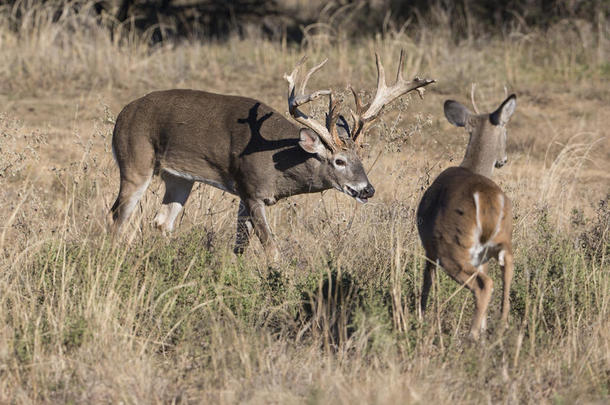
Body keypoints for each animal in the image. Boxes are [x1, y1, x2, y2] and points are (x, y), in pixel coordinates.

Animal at [108, 52, 432, 258]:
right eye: (338, 161)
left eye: (360, 160)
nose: (367, 189)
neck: (279, 164)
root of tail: (122, 114)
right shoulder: (252, 191)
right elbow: (272, 249)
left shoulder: (244, 195)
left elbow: (240, 246)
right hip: (135, 161)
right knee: (118, 215)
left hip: (179, 178)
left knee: (162, 221)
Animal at [416, 91, 516, 338]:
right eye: (506, 131)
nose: (504, 160)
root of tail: (488, 198)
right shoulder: (481, 258)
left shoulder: (429, 247)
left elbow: (428, 282)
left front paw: (421, 318)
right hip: (502, 239)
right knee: (507, 269)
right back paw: (498, 328)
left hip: (452, 246)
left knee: (484, 285)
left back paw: (471, 336)